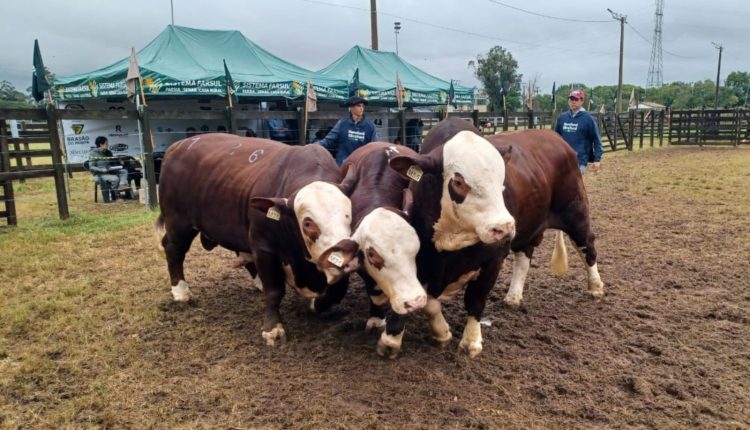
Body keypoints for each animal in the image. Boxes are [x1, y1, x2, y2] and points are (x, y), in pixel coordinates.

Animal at [155, 134, 359, 347]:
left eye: (349, 215)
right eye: (308, 223)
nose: (346, 255)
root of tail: (179, 145)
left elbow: (336, 292)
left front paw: (314, 304)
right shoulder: (263, 246)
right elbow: (274, 291)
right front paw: (272, 329)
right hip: (179, 221)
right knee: (174, 249)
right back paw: (181, 292)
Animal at [319, 142, 427, 357]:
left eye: (416, 249)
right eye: (372, 255)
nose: (416, 301)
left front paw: (390, 340)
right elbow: (375, 294)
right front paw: (376, 319)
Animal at [385, 123, 517, 358]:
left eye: (502, 182)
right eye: (458, 182)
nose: (503, 227)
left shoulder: (494, 259)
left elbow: (476, 300)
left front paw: (471, 340)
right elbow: (428, 302)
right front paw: (440, 333)